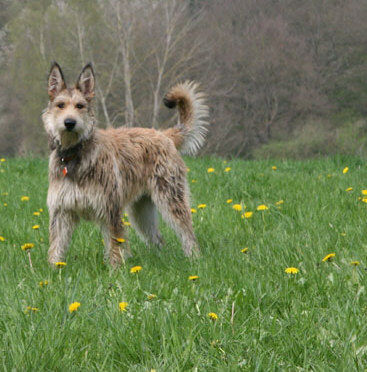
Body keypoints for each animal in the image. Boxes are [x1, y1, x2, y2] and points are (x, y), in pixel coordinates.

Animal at [41, 63, 208, 268]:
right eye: (60, 105)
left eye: (80, 106)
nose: (70, 122)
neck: (74, 155)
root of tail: (164, 134)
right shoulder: (61, 212)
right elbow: (56, 247)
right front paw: (53, 269)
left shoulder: (110, 211)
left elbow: (115, 246)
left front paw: (116, 271)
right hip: (141, 211)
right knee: (157, 238)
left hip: (171, 198)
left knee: (187, 234)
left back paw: (195, 259)